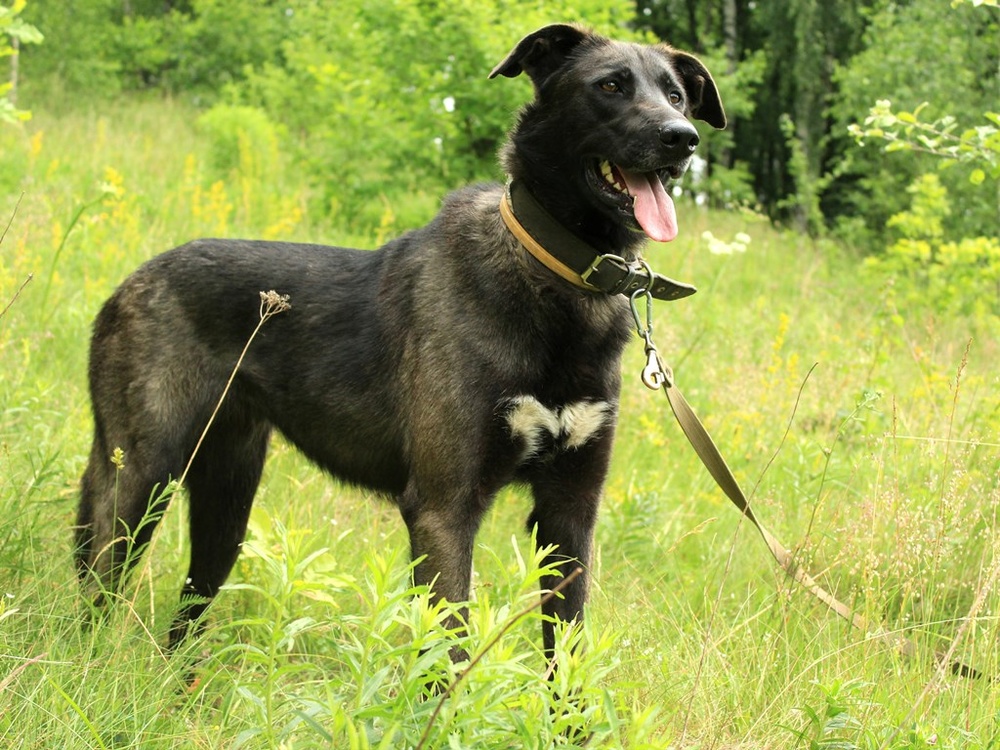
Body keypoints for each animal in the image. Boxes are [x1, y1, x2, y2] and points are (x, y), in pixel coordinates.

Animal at [74, 22, 724, 656]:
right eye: (610, 85)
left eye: (676, 95)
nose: (683, 138)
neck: (554, 274)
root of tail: (132, 281)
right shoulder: (443, 509)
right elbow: (449, 652)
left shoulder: (570, 511)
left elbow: (567, 659)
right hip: (142, 477)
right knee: (100, 584)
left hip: (226, 499)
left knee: (185, 616)